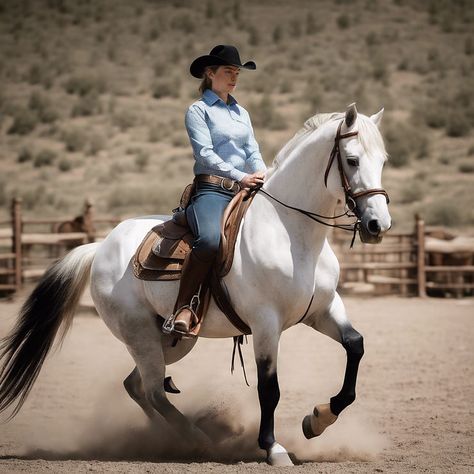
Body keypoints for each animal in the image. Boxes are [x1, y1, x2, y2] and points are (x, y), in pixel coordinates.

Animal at [1, 104, 390, 466]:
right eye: (352, 160)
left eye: (383, 160)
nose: (378, 224)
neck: (291, 233)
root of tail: (99, 248)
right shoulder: (266, 324)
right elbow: (269, 388)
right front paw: (273, 447)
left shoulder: (323, 310)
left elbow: (355, 347)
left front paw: (317, 419)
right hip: (140, 334)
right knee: (154, 391)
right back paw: (196, 439)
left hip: (171, 340)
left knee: (138, 386)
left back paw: (168, 437)